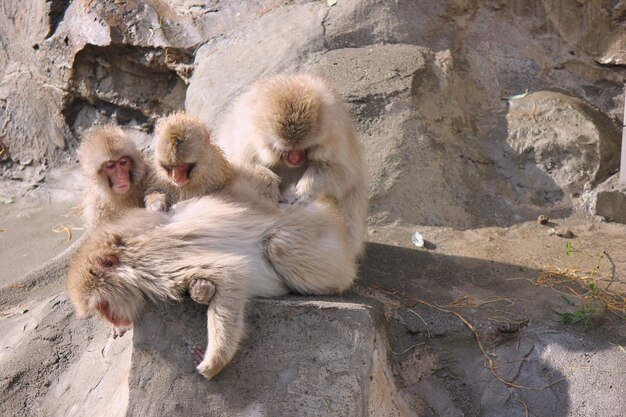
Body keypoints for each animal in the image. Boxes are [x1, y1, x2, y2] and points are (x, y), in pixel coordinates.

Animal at [67, 193, 356, 378]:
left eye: (103, 306)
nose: (112, 318)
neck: (123, 254)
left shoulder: (153, 263)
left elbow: (230, 273)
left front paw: (214, 362)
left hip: (318, 238)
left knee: (280, 248)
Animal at [217, 73, 368, 258]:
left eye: (303, 149)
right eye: (287, 151)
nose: (295, 159)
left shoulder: (335, 130)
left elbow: (343, 173)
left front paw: (307, 188)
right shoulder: (247, 136)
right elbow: (235, 165)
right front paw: (269, 186)